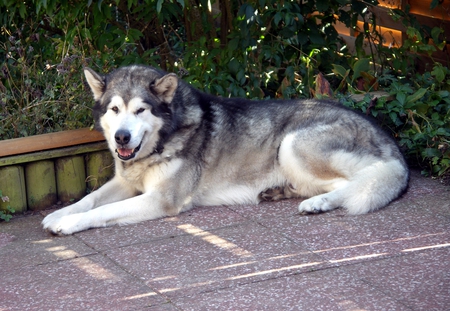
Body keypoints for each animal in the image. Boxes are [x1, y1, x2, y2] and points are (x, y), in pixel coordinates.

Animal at [41, 66, 408, 236]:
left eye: (140, 110)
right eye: (115, 109)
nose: (121, 138)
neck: (164, 140)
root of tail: (392, 145)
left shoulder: (161, 200)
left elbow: (101, 211)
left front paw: (69, 224)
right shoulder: (124, 181)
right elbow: (90, 199)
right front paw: (60, 214)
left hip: (292, 144)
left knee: (353, 184)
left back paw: (317, 203)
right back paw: (279, 191)